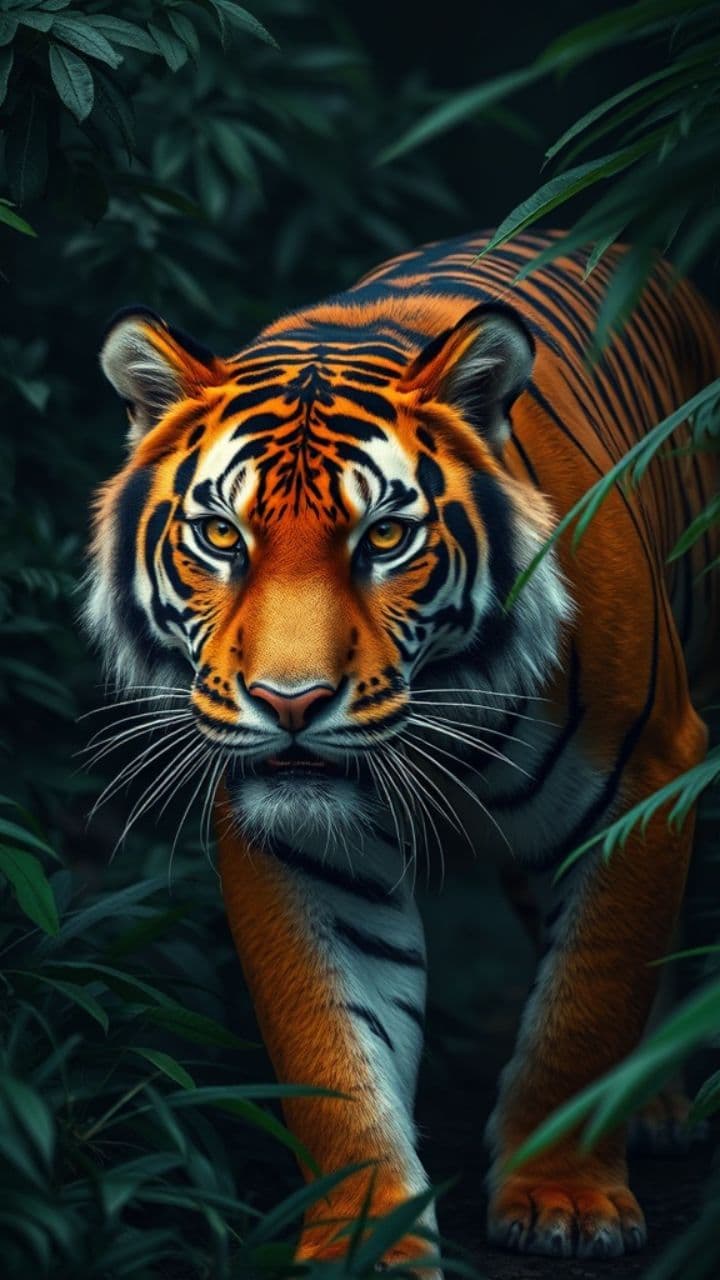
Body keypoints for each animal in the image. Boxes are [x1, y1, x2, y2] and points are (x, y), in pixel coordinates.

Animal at [86, 229, 719, 1272]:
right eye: (220, 535)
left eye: (384, 537)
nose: (289, 703)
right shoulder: (299, 841)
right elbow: (330, 1047)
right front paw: (365, 1232)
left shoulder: (646, 779)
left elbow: (590, 1001)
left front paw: (565, 1201)